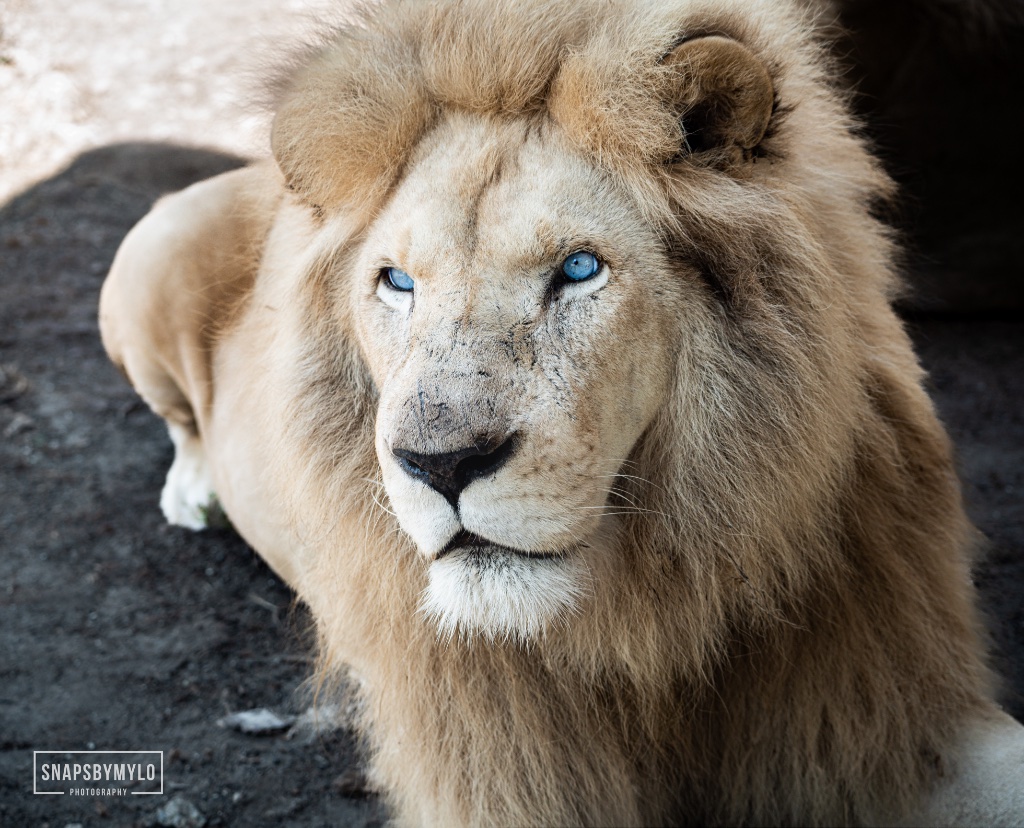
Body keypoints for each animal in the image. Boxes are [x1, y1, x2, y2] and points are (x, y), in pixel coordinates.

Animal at [98, 0, 1024, 824]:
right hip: (146, 258)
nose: (441, 465)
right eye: (397, 282)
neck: (649, 616)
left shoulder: (892, 700)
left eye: (578, 269)